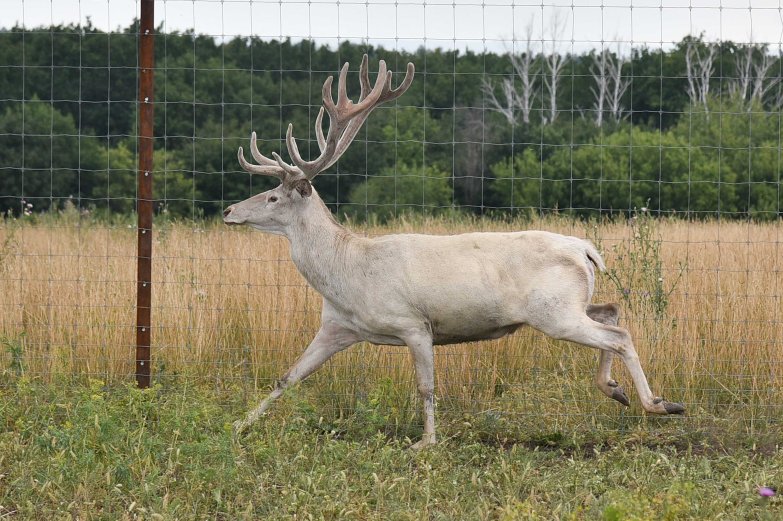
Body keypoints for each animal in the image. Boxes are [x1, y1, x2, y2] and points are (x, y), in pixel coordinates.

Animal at [224, 54, 684, 448]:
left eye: (273, 197)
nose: (229, 210)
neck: (348, 275)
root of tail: (585, 248)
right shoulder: (336, 327)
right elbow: (288, 376)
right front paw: (240, 425)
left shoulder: (412, 322)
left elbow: (425, 385)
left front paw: (425, 442)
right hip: (568, 305)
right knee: (611, 311)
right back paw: (616, 390)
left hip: (553, 312)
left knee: (619, 335)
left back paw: (658, 403)